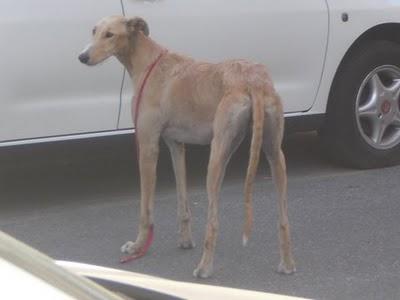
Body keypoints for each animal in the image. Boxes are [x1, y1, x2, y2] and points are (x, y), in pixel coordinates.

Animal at [79, 15, 296, 278]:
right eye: (94, 31)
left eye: (110, 34)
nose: (82, 57)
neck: (148, 62)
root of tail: (252, 80)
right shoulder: (176, 145)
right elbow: (182, 197)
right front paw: (184, 240)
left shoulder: (148, 147)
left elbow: (145, 210)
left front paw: (138, 246)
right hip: (274, 155)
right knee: (283, 218)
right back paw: (287, 264)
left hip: (216, 159)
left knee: (213, 221)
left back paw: (204, 268)